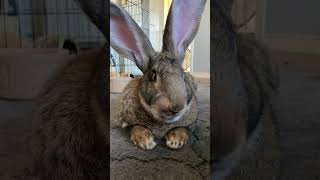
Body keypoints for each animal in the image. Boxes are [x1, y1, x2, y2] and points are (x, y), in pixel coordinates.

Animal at [110, 0, 208, 149]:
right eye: (153, 75)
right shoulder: (128, 121)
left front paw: (175, 141)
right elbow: (136, 127)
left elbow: (182, 128)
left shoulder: (191, 123)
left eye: (182, 75)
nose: (177, 107)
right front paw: (146, 141)